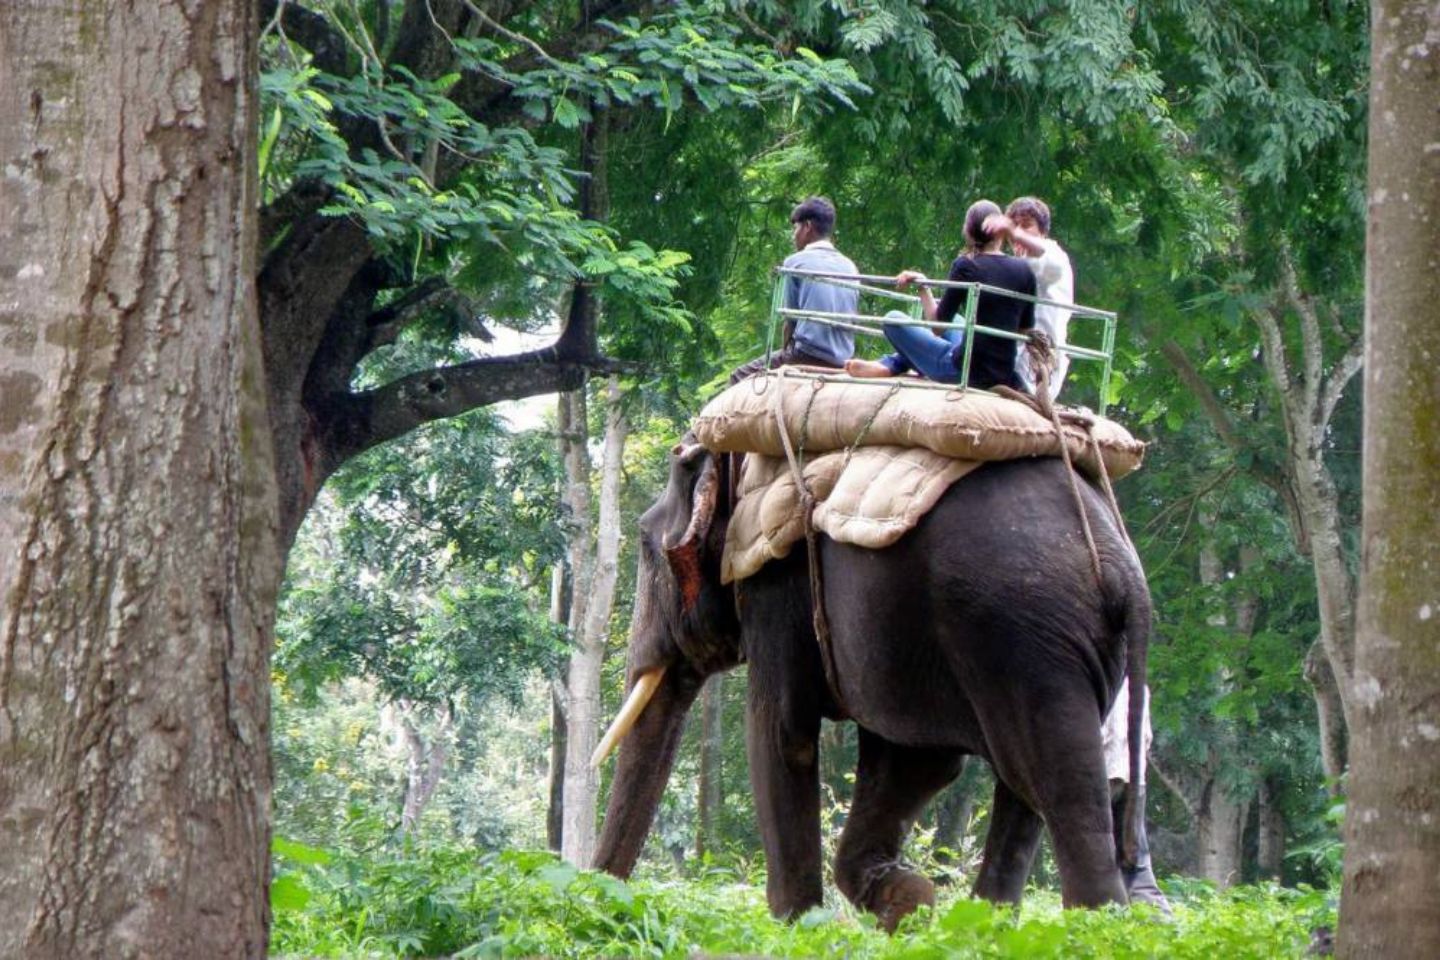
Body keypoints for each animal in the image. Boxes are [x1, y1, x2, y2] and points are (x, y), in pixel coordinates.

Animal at [592, 440, 1150, 932]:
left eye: (644, 544)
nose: (601, 898)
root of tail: (1121, 567)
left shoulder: (776, 583)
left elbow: (782, 734)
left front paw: (801, 927)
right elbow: (913, 764)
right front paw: (909, 904)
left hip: (1021, 636)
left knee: (1056, 787)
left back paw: (1096, 928)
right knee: (1026, 791)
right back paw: (985, 927)